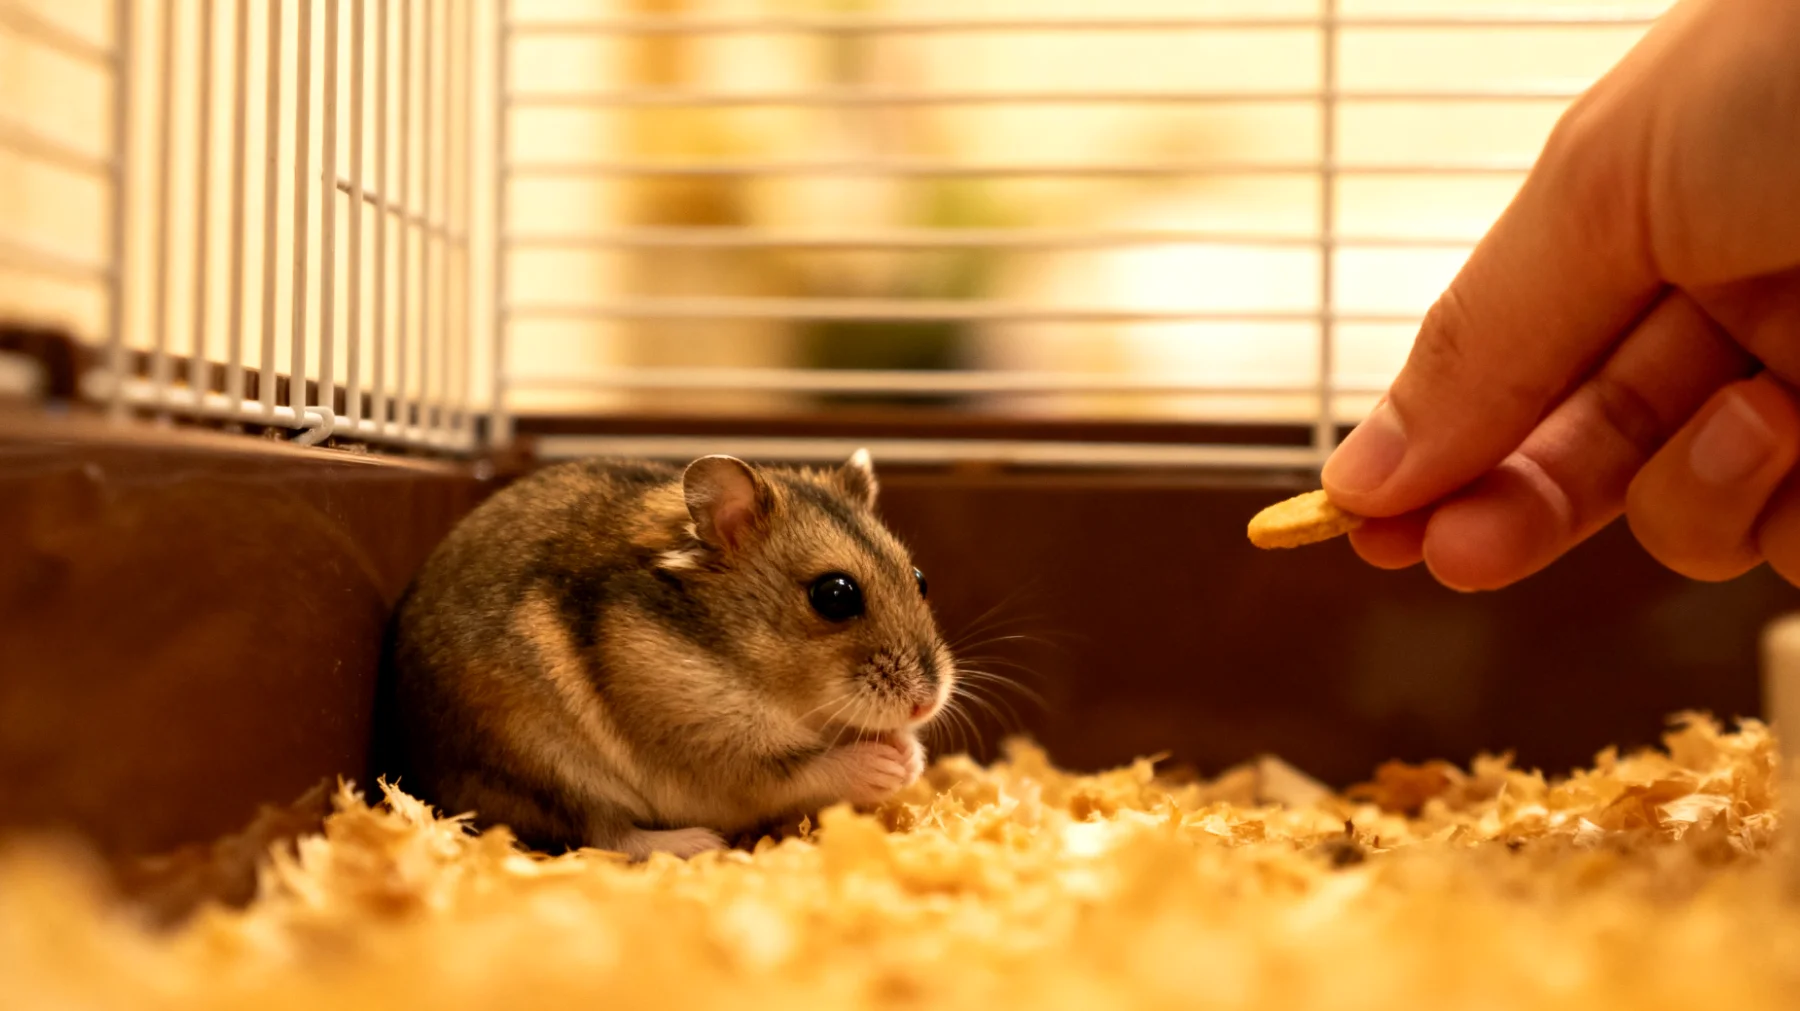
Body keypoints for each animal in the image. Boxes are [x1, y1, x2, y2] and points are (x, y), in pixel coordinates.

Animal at [379, 449, 955, 860]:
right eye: (835, 595)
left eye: (920, 578)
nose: (926, 704)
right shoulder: (716, 752)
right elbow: (803, 770)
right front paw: (890, 763)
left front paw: (911, 754)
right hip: (546, 764)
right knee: (604, 835)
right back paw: (699, 844)